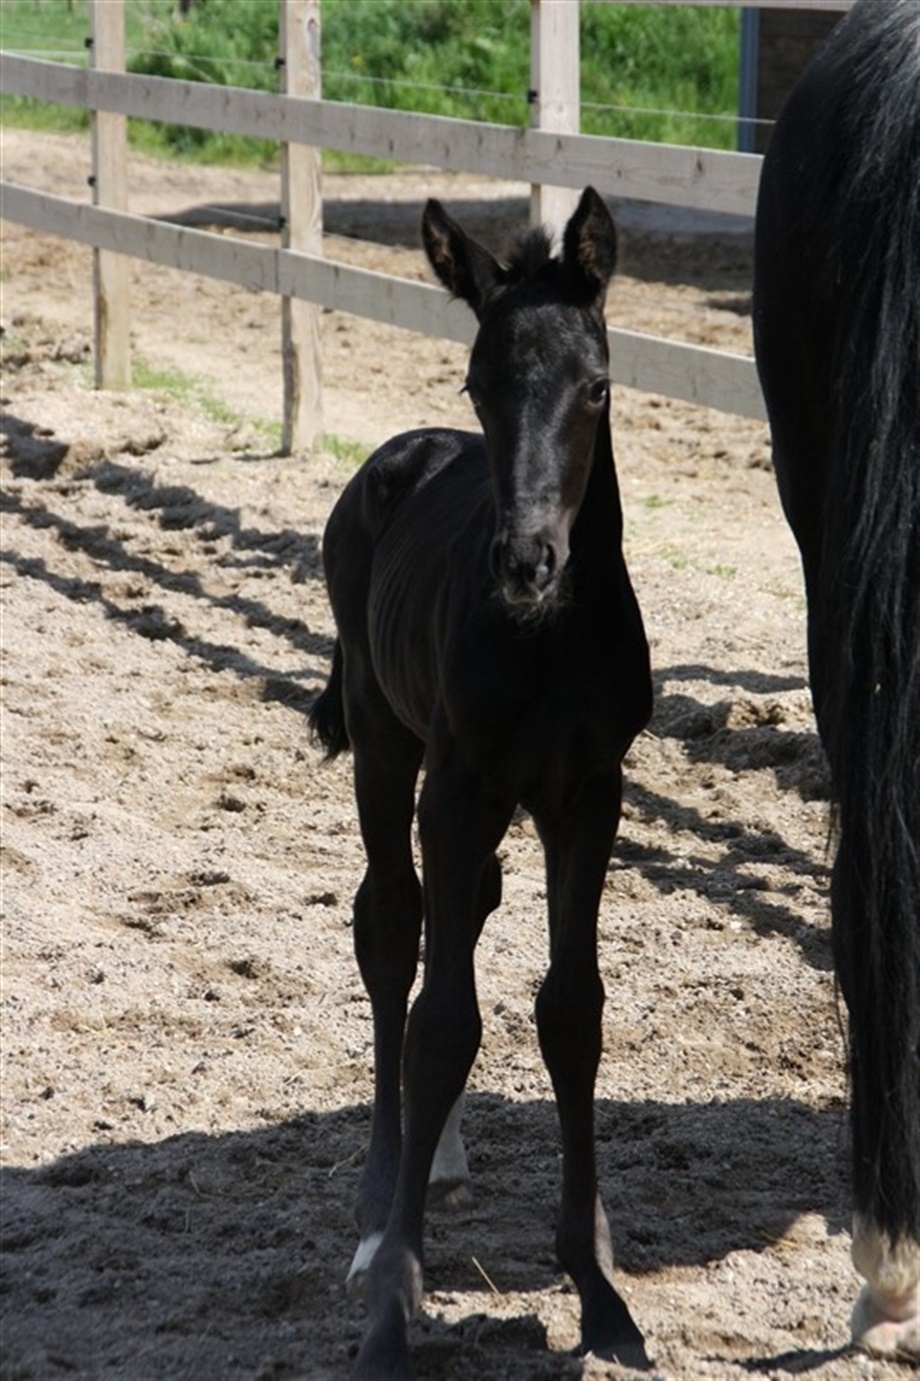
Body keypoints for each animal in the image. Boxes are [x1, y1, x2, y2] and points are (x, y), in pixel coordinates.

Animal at [310, 187, 653, 1376]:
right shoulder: (454, 790)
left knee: (458, 917)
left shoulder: (589, 794)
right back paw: (379, 1214)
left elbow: (573, 1010)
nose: (526, 561)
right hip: (385, 742)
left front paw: (600, 1290)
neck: (552, 637)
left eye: (597, 386)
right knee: (390, 928)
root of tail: (400, 456)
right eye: (477, 382)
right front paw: (391, 1305)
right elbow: (440, 1020)